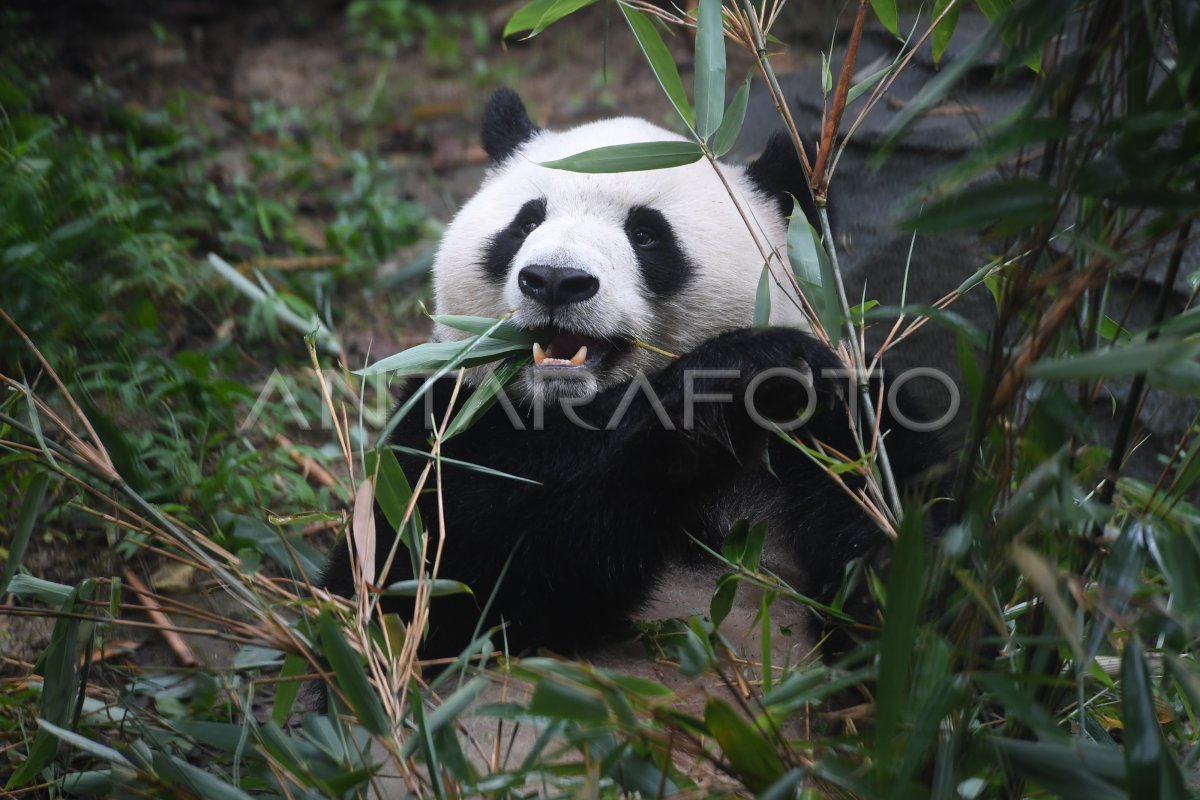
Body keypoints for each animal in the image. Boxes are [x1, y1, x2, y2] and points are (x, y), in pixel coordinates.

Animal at [324, 87, 940, 662]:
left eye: (646, 234)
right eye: (527, 220)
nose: (555, 280)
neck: (571, 406)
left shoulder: (849, 429)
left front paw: (886, 573)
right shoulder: (447, 420)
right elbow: (433, 576)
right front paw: (743, 369)